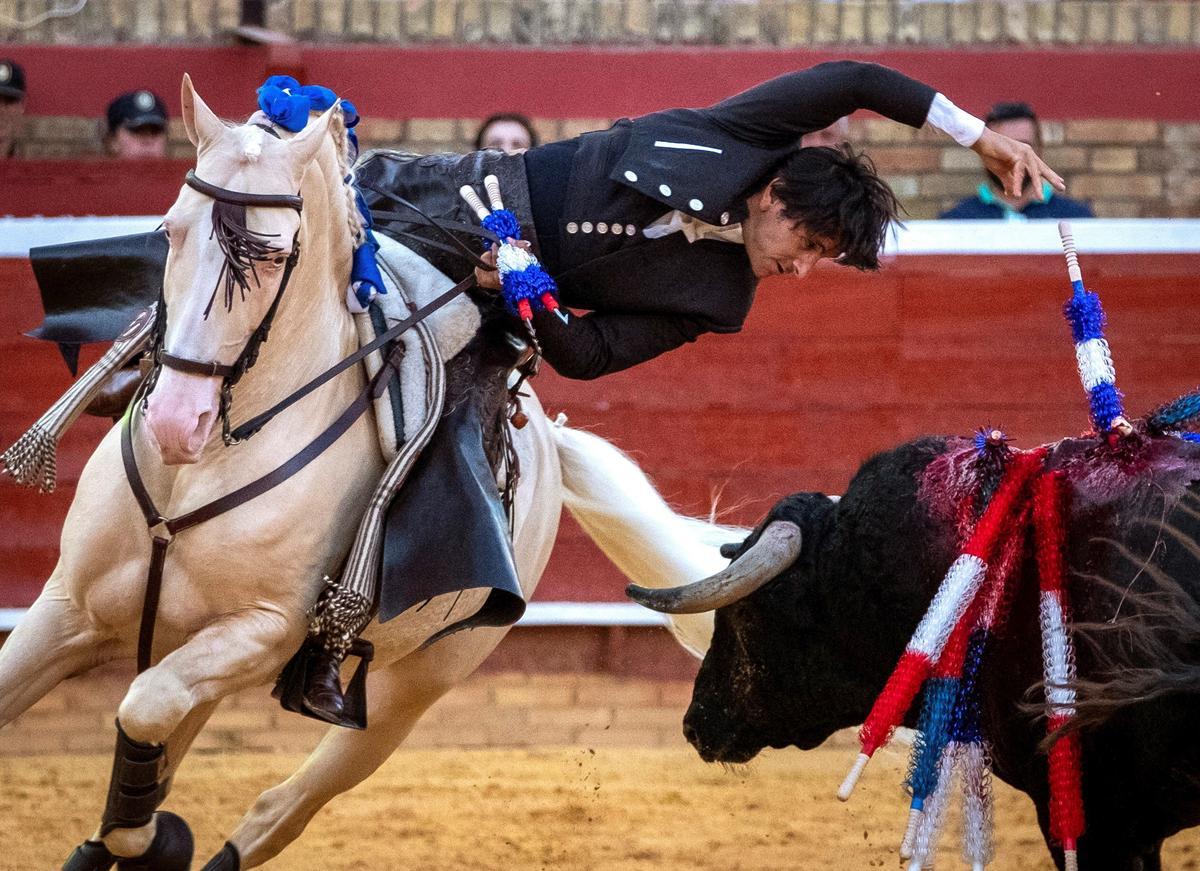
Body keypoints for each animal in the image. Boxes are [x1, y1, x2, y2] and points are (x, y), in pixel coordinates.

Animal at [0, 76, 739, 871]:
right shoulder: (66, 606)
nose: (174, 421)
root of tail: (544, 435)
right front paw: (134, 835)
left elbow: (143, 710)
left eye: (274, 254)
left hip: (410, 689)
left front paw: (149, 839)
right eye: (169, 230)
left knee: (278, 808)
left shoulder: (264, 630)